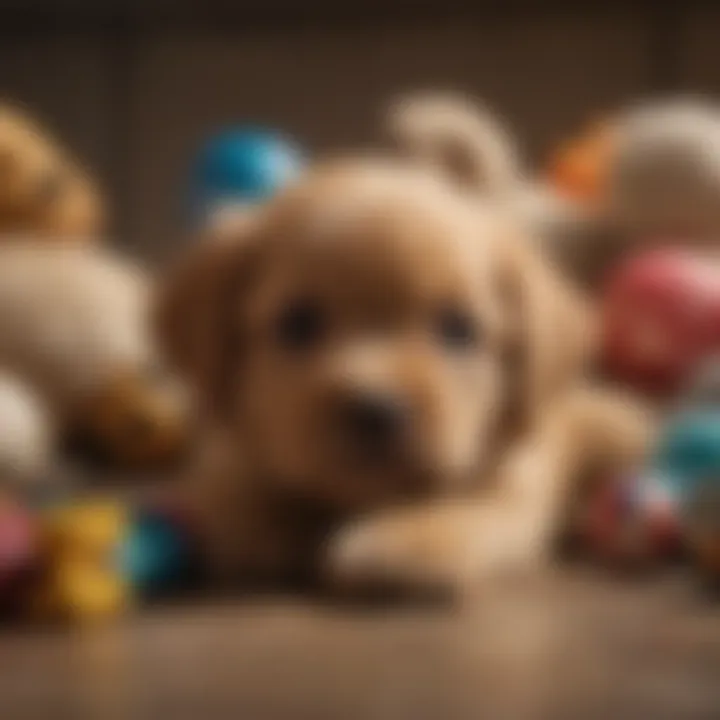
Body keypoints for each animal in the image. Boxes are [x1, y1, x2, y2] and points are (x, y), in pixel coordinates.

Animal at [158, 160, 652, 600]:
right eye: (297, 324)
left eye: (457, 328)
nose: (375, 411)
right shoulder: (225, 453)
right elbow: (229, 493)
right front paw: (262, 517)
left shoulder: (508, 490)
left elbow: (456, 510)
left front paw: (404, 543)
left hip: (618, 428)